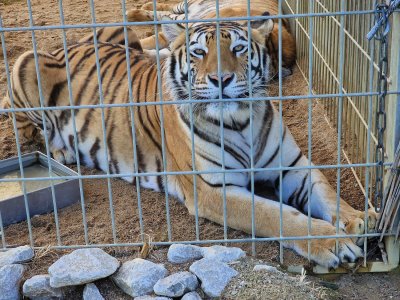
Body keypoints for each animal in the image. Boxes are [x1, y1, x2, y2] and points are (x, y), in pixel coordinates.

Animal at [3, 17, 376, 268]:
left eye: (238, 49)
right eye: (199, 52)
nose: (221, 79)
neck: (240, 121)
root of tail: (66, 45)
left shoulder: (294, 166)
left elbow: (327, 192)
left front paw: (360, 219)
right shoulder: (213, 189)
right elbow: (274, 214)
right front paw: (331, 242)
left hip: (122, 34)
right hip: (26, 63)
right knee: (23, 124)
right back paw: (61, 149)